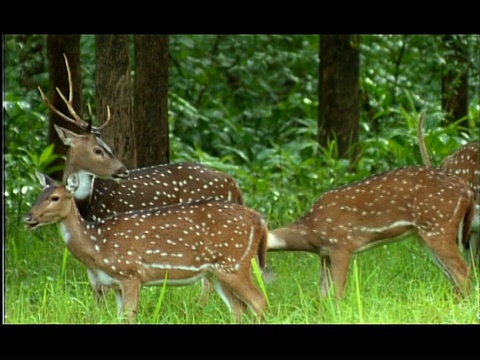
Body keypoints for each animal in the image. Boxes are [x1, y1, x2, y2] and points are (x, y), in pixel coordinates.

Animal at [24, 172, 268, 324]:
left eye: (55, 198)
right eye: (38, 196)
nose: (28, 218)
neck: (98, 246)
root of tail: (259, 220)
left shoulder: (130, 273)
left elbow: (130, 316)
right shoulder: (114, 284)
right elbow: (120, 317)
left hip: (234, 263)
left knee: (259, 301)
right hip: (217, 272)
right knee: (238, 307)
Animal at [268, 165, 474, 298]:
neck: (309, 233)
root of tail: (466, 191)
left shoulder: (340, 244)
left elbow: (338, 290)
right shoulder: (324, 253)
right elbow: (324, 293)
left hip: (438, 225)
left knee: (463, 272)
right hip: (425, 234)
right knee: (452, 274)